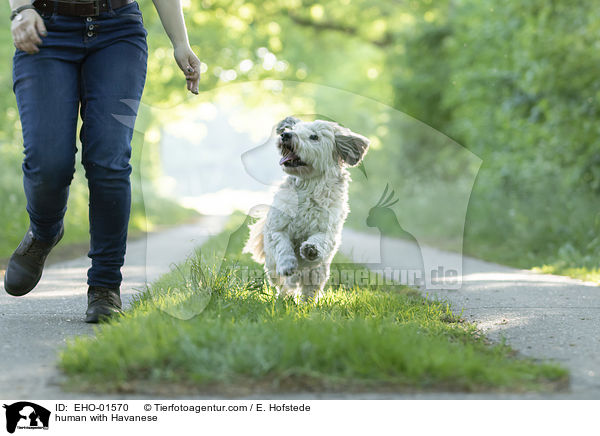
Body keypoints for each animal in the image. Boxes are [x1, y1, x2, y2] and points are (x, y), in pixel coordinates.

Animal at [244, 116, 370, 300]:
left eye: (314, 137)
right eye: (293, 129)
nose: (285, 135)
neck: (308, 185)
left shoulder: (328, 229)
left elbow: (321, 239)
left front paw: (311, 249)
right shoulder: (277, 227)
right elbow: (282, 244)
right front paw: (287, 263)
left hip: (317, 273)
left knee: (309, 289)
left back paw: (306, 303)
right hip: (273, 268)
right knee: (282, 283)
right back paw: (284, 296)